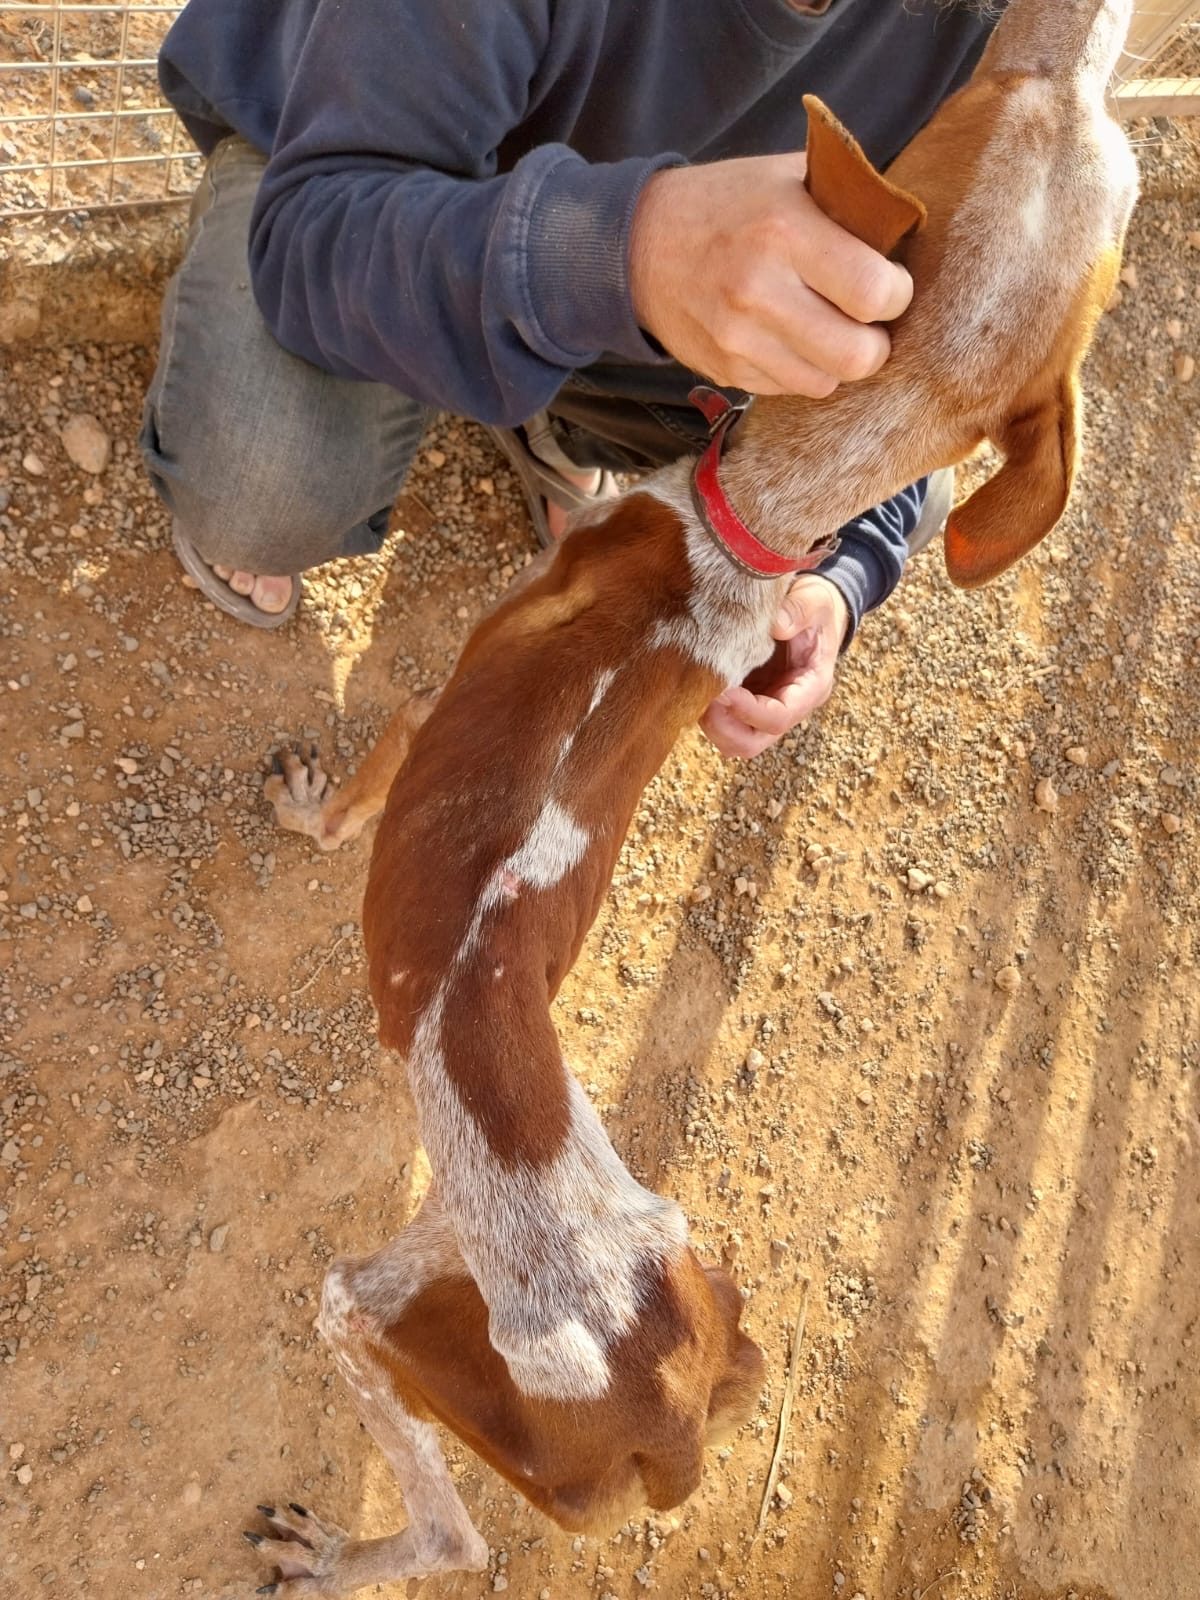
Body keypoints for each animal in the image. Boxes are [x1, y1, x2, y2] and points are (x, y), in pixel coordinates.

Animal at [249, 1, 1137, 1590]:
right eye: (1013, 100)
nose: (1095, 25)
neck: (757, 517)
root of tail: (661, 1413)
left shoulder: (425, 706)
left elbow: (353, 785)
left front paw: (302, 812)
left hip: (370, 1310)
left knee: (449, 1530)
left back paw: (344, 1549)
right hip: (708, 1288)